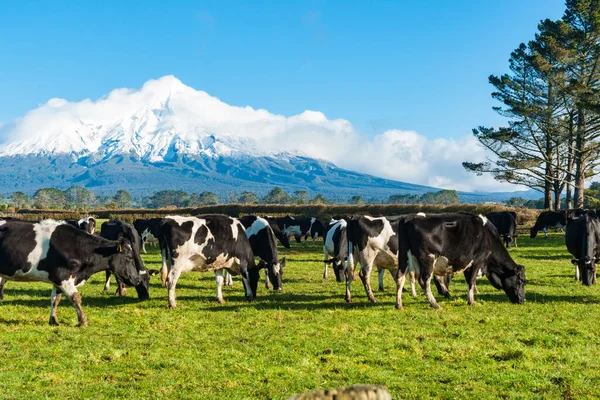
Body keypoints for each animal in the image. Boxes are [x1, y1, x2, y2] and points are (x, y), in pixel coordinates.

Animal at [0, 220, 149, 326]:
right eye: (129, 257)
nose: (136, 279)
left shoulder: (58, 279)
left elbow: (55, 299)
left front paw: (53, 320)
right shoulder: (62, 277)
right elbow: (75, 298)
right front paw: (83, 321)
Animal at [396, 212, 528, 310]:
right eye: (521, 281)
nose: (523, 300)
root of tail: (408, 219)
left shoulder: (467, 264)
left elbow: (469, 281)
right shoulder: (477, 261)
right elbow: (471, 280)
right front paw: (471, 301)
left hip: (403, 256)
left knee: (400, 277)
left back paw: (399, 304)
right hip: (428, 258)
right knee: (424, 280)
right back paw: (435, 304)